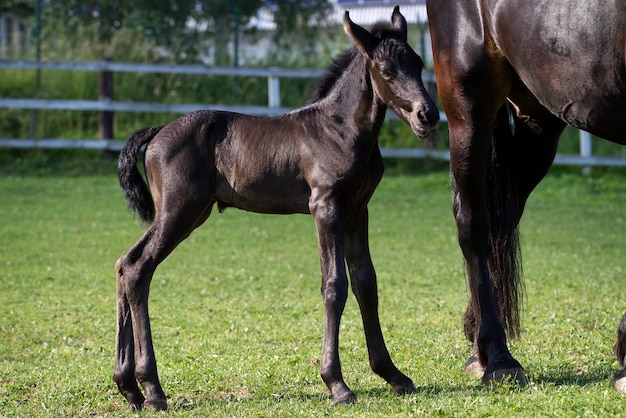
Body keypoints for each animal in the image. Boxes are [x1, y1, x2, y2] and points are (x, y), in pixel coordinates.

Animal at [112, 7, 436, 412]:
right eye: (387, 70)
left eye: (419, 64)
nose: (428, 115)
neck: (340, 129)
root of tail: (156, 132)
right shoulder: (325, 206)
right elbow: (335, 285)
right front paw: (337, 384)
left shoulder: (358, 210)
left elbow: (366, 283)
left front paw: (393, 375)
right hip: (179, 211)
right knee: (138, 269)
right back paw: (152, 388)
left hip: (182, 213)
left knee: (124, 264)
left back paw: (129, 387)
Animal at [424, 0, 624, 388]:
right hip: (468, 101)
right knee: (473, 223)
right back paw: (498, 358)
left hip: (539, 116)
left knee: (502, 218)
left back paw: (479, 347)